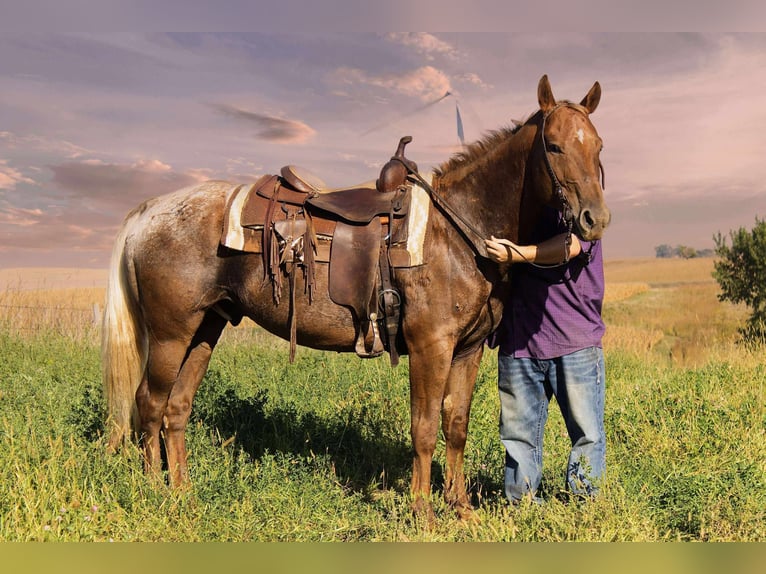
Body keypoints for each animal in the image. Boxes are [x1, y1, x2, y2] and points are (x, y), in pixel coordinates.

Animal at [102, 75, 610, 521]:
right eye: (554, 146)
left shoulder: (466, 350)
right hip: (170, 334)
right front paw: (423, 511)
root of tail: (149, 212)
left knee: (176, 408)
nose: (595, 219)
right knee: (149, 403)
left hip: (205, 328)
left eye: (599, 146)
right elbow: (425, 428)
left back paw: (183, 492)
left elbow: (456, 425)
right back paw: (154, 492)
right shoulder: (430, 347)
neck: (457, 231)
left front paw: (461, 508)